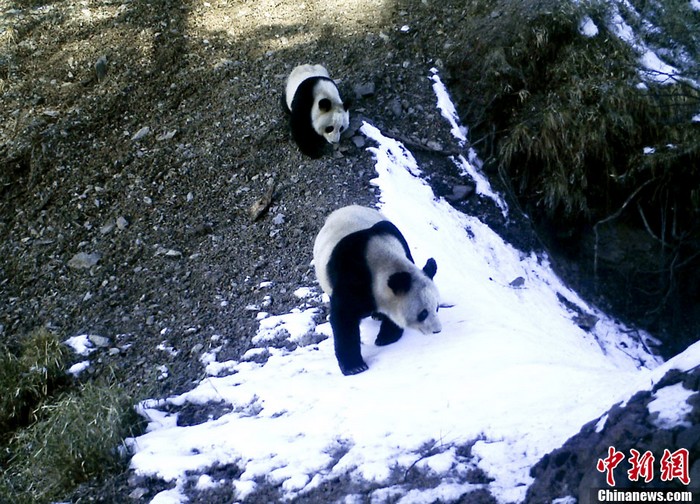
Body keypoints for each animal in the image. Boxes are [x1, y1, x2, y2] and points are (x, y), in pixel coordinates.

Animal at [314, 205, 440, 374]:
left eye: (437, 307)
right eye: (423, 313)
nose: (437, 330)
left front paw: (386, 337)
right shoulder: (350, 275)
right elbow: (344, 318)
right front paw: (355, 367)